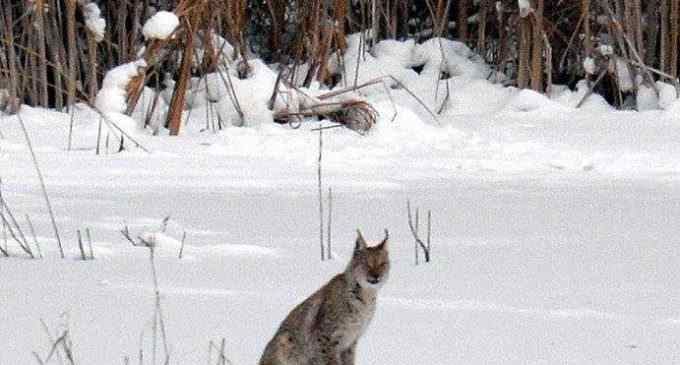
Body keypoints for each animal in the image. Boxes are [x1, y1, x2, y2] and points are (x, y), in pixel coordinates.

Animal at [258, 229, 390, 362]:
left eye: (382, 264)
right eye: (367, 264)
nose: (376, 276)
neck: (366, 294)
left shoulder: (351, 341)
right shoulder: (325, 337)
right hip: (285, 339)